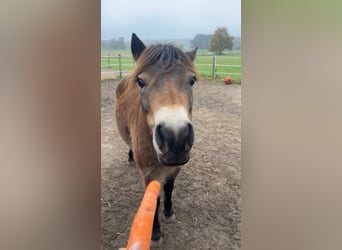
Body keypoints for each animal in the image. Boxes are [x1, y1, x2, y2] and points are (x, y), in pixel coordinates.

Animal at [114, 32, 196, 244]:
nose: (176, 138)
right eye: (141, 82)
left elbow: (169, 189)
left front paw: (168, 212)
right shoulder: (148, 174)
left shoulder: (175, 167)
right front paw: (156, 233)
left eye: (192, 80)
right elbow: (154, 200)